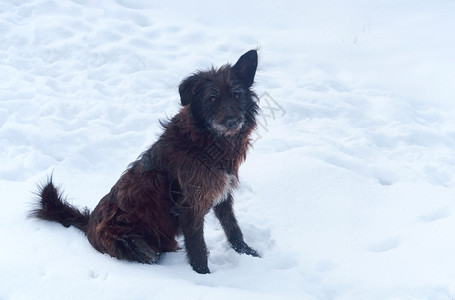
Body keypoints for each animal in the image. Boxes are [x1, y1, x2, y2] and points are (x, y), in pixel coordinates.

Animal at [31, 49, 260, 274]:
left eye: (236, 94)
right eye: (212, 98)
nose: (233, 121)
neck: (206, 141)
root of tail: (88, 226)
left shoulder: (222, 194)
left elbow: (233, 227)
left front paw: (248, 253)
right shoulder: (191, 205)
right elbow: (198, 248)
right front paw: (204, 277)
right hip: (133, 242)